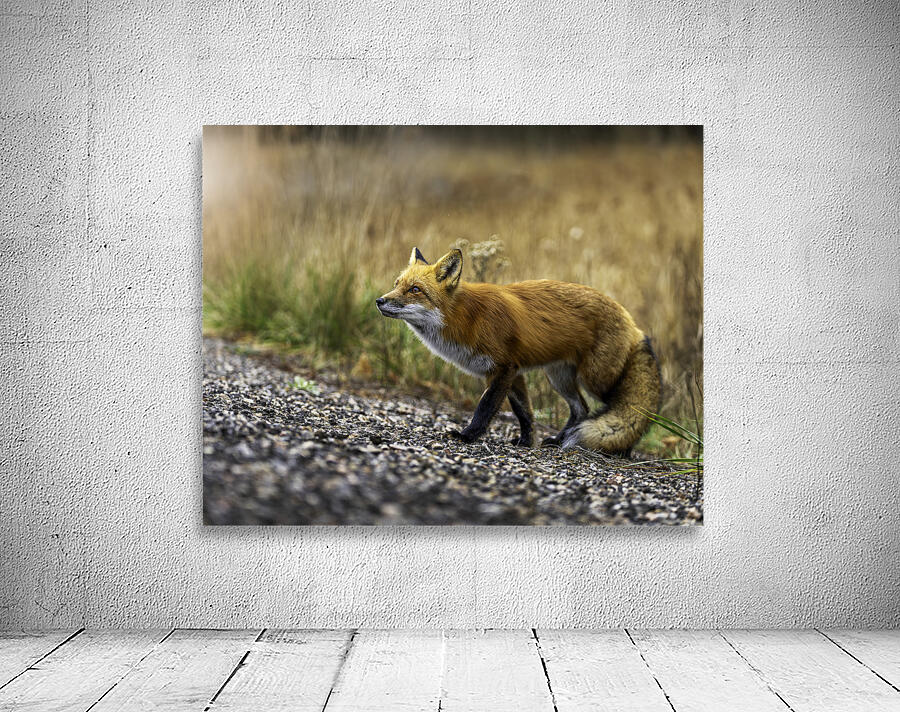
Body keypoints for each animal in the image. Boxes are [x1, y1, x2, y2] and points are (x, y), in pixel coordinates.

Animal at [376, 247, 661, 454]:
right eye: (396, 283)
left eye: (415, 290)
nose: (379, 301)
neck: (466, 318)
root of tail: (634, 325)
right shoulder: (514, 372)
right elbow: (525, 413)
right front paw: (526, 442)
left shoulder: (503, 368)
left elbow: (486, 407)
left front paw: (468, 435)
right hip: (559, 377)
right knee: (581, 409)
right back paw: (559, 440)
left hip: (596, 378)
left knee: (630, 408)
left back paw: (624, 449)